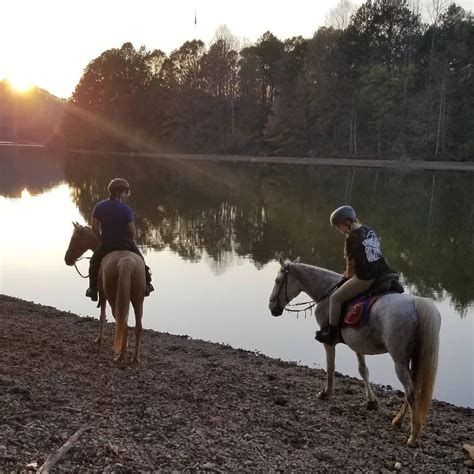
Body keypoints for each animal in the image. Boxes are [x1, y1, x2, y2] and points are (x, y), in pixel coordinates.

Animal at [65, 222, 145, 362]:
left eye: (73, 239)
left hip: (114, 300)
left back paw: (120, 356)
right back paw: (135, 358)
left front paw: (99, 339)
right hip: (138, 300)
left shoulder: (102, 295)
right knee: (137, 328)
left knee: (123, 326)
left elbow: (102, 317)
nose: (67, 259)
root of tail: (126, 262)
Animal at [266, 258, 440, 446]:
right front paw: (371, 401)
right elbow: (363, 370)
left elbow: (331, 367)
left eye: (277, 281)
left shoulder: (329, 342)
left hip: (399, 361)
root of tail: (416, 305)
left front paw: (326, 393)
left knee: (411, 393)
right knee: (412, 391)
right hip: (413, 360)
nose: (272, 307)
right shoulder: (357, 344)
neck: (327, 293)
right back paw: (398, 421)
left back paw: (413, 436)